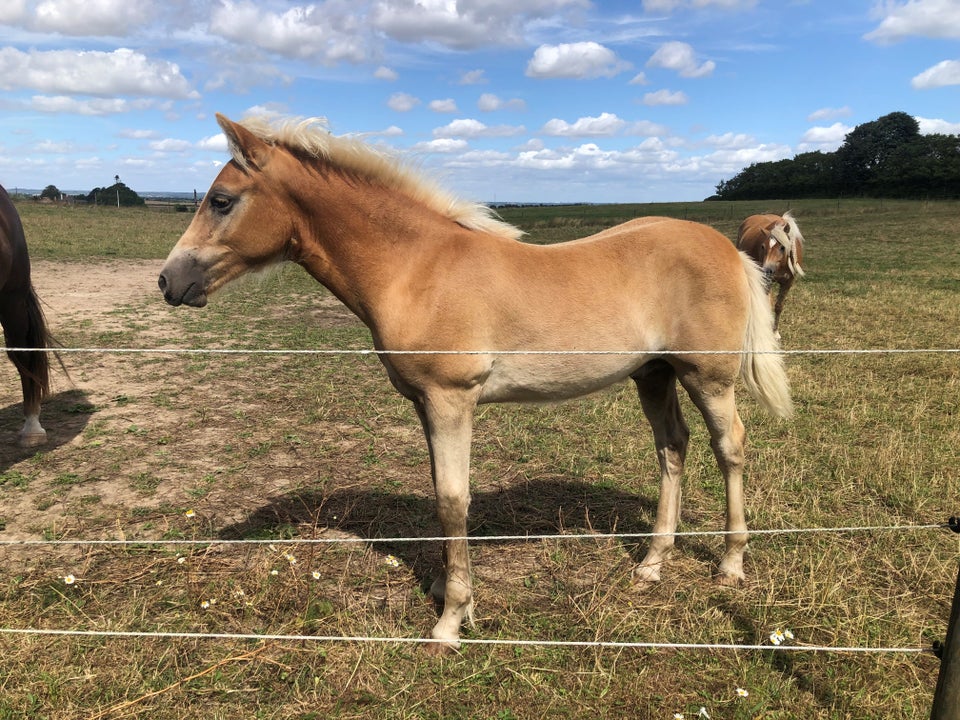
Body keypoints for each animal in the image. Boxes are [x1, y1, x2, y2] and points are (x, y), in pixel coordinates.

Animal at [158, 114, 792, 652]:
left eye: (221, 200)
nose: (168, 280)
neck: (416, 269)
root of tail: (730, 249)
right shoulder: (424, 403)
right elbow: (443, 494)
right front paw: (444, 591)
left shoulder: (451, 400)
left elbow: (452, 499)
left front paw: (450, 621)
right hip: (653, 374)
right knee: (672, 448)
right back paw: (652, 564)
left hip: (707, 376)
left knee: (729, 446)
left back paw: (731, 565)